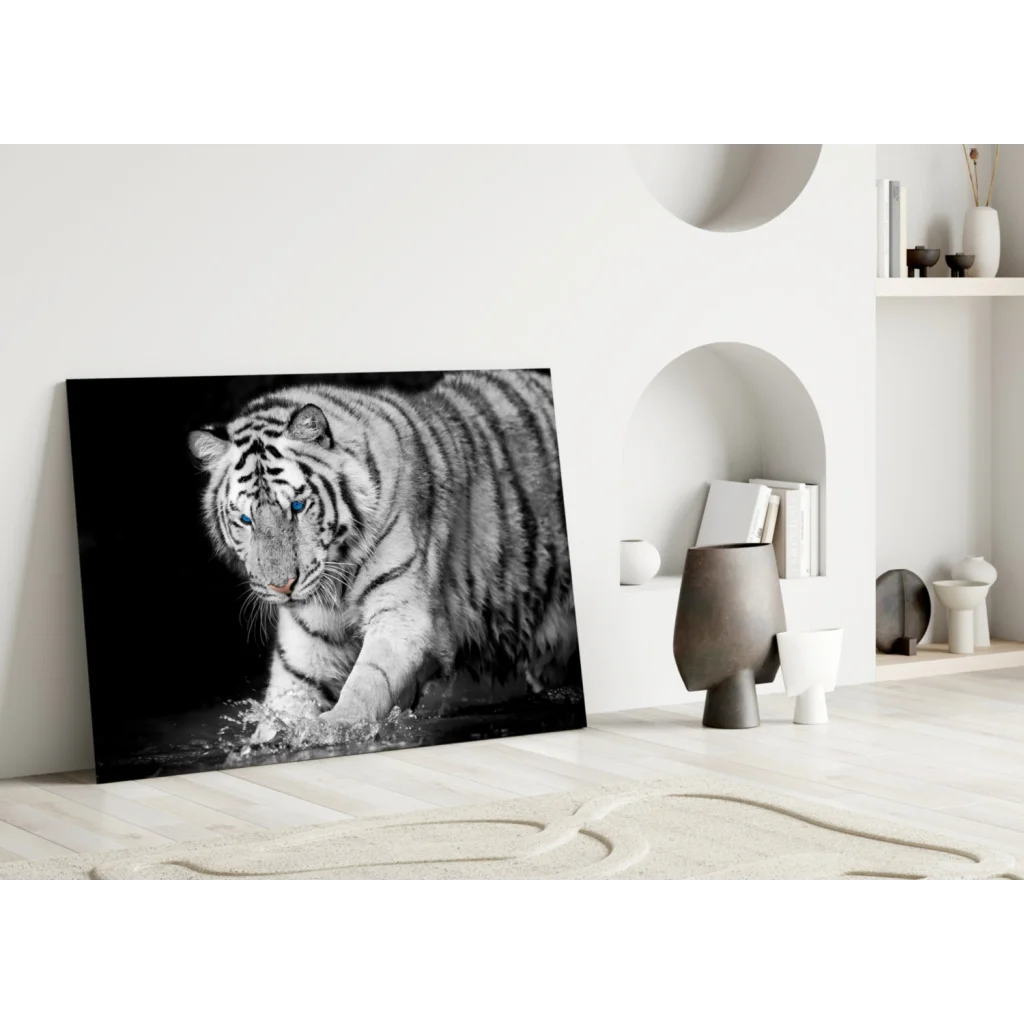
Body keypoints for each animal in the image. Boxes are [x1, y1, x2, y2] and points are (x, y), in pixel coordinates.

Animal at [187, 369, 579, 745]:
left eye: (297, 507)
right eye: (245, 520)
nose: (282, 586)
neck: (336, 577)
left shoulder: (402, 617)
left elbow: (368, 680)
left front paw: (336, 727)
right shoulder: (307, 640)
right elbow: (285, 702)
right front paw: (272, 738)